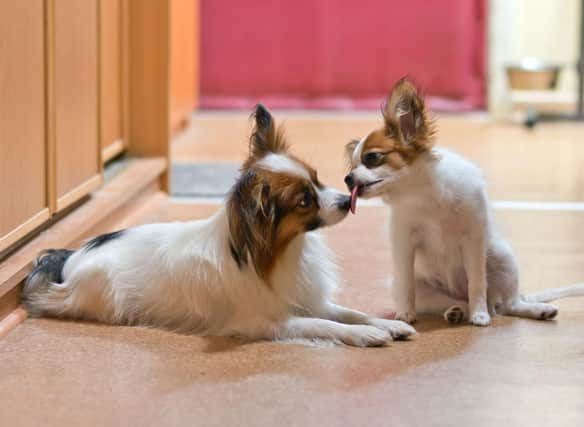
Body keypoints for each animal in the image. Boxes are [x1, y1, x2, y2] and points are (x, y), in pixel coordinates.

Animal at [22, 104, 416, 348]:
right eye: (304, 201)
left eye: (317, 180)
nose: (345, 201)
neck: (282, 252)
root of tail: (73, 257)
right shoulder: (266, 321)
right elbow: (327, 324)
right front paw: (364, 336)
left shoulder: (307, 297)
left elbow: (349, 312)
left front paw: (388, 324)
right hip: (104, 296)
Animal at [344, 79, 580, 328]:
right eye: (352, 166)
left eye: (372, 158)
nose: (347, 179)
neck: (422, 193)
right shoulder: (403, 245)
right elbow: (406, 285)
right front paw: (406, 314)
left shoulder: (473, 241)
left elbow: (476, 283)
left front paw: (480, 315)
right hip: (425, 291)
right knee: (462, 302)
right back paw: (455, 312)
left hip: (503, 259)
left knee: (508, 304)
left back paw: (533, 309)